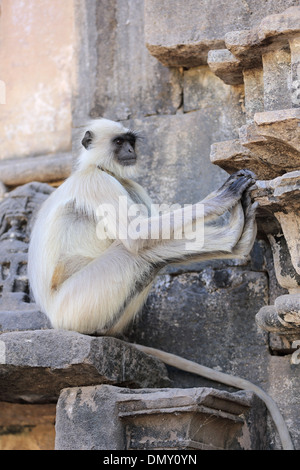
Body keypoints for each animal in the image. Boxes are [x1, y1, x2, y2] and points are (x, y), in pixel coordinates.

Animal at [27, 119, 294, 450]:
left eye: (130, 142)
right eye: (119, 142)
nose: (130, 151)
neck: (100, 169)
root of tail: (54, 318)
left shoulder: (131, 186)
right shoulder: (96, 181)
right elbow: (137, 235)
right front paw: (222, 198)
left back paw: (235, 242)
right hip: (75, 308)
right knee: (137, 250)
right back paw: (235, 236)